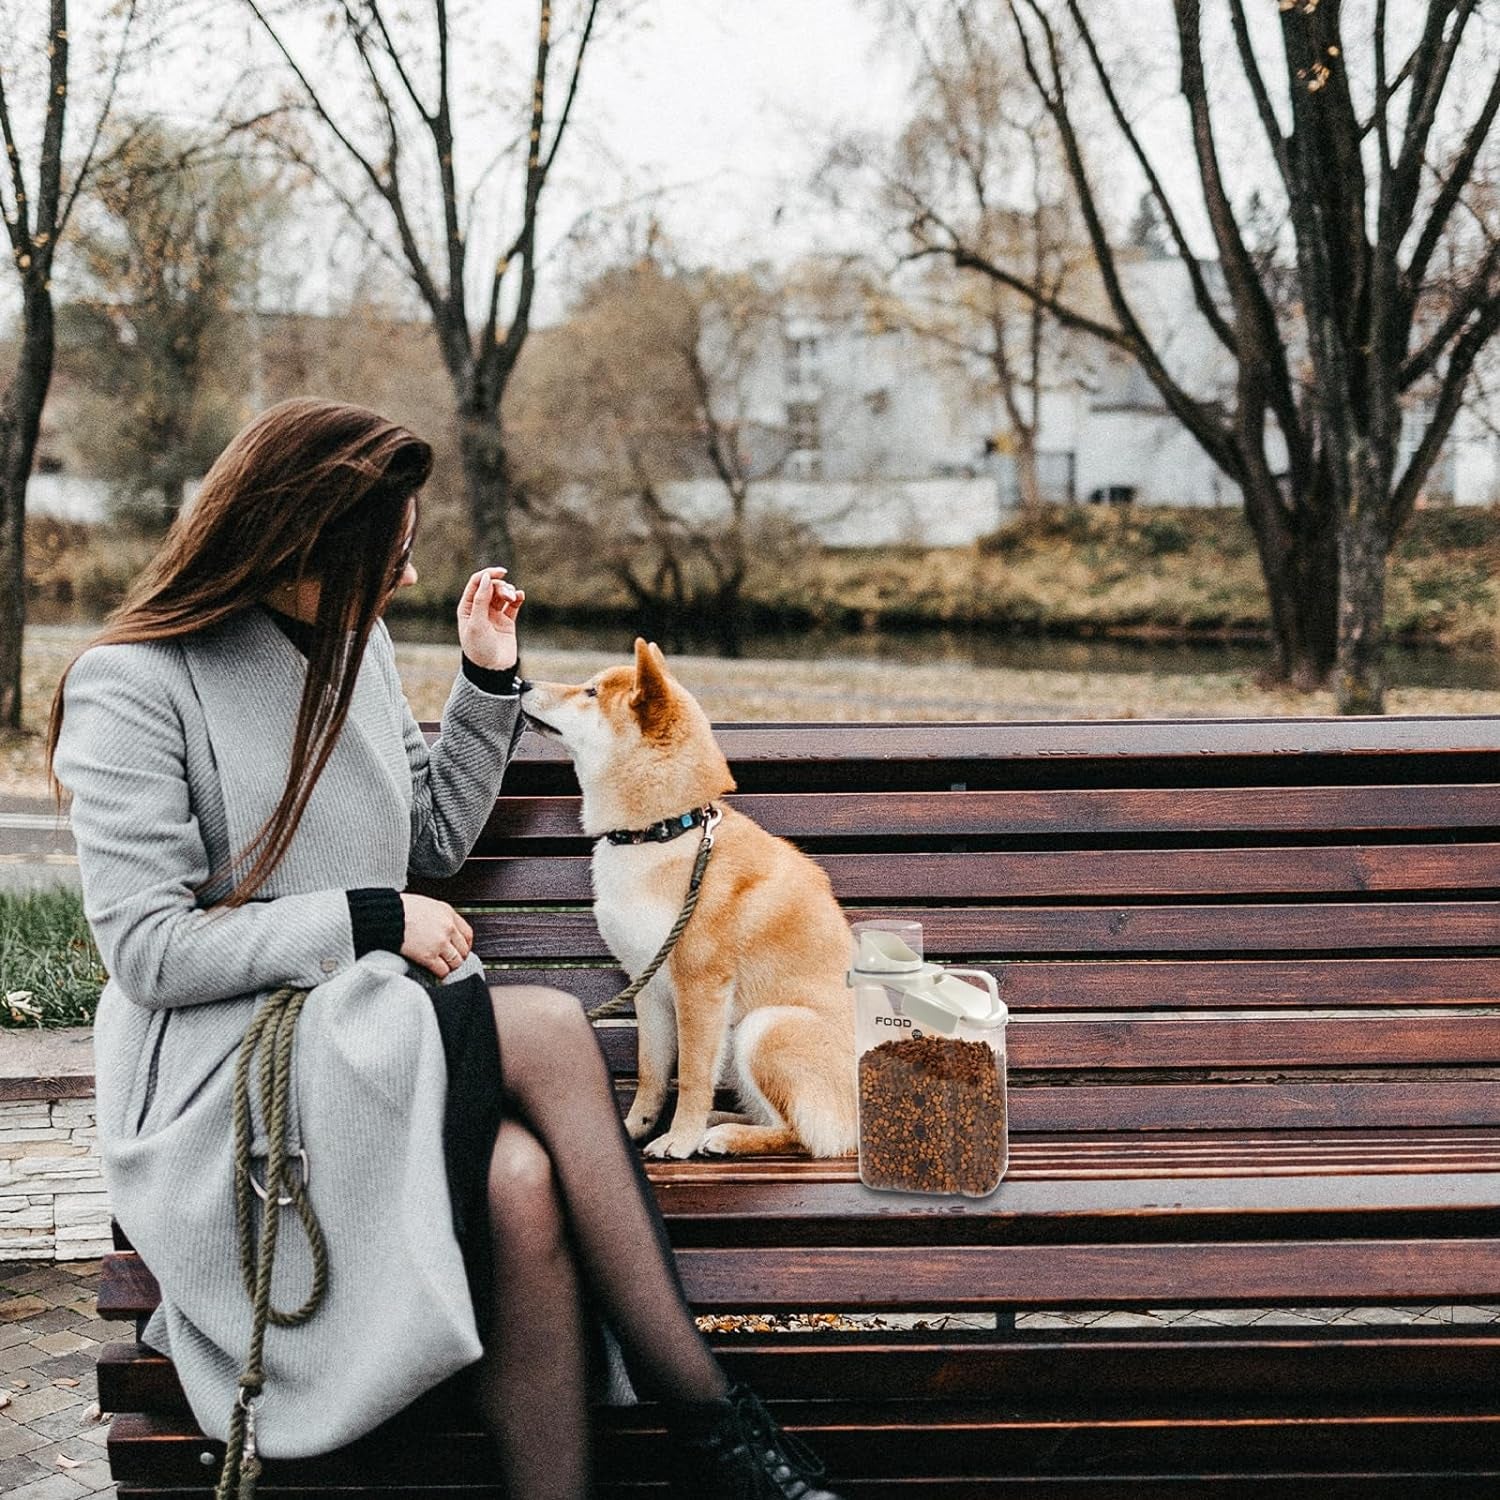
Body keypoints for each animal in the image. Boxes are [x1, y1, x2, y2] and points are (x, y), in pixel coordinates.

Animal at [522, 642, 858, 1158]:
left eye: (591, 691)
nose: (521, 683)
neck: (662, 832)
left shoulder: (700, 986)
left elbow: (694, 1075)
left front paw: (677, 1140)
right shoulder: (647, 984)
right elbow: (652, 1073)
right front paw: (636, 1127)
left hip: (765, 1027)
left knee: (810, 1136)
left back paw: (725, 1136)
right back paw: (718, 1124)